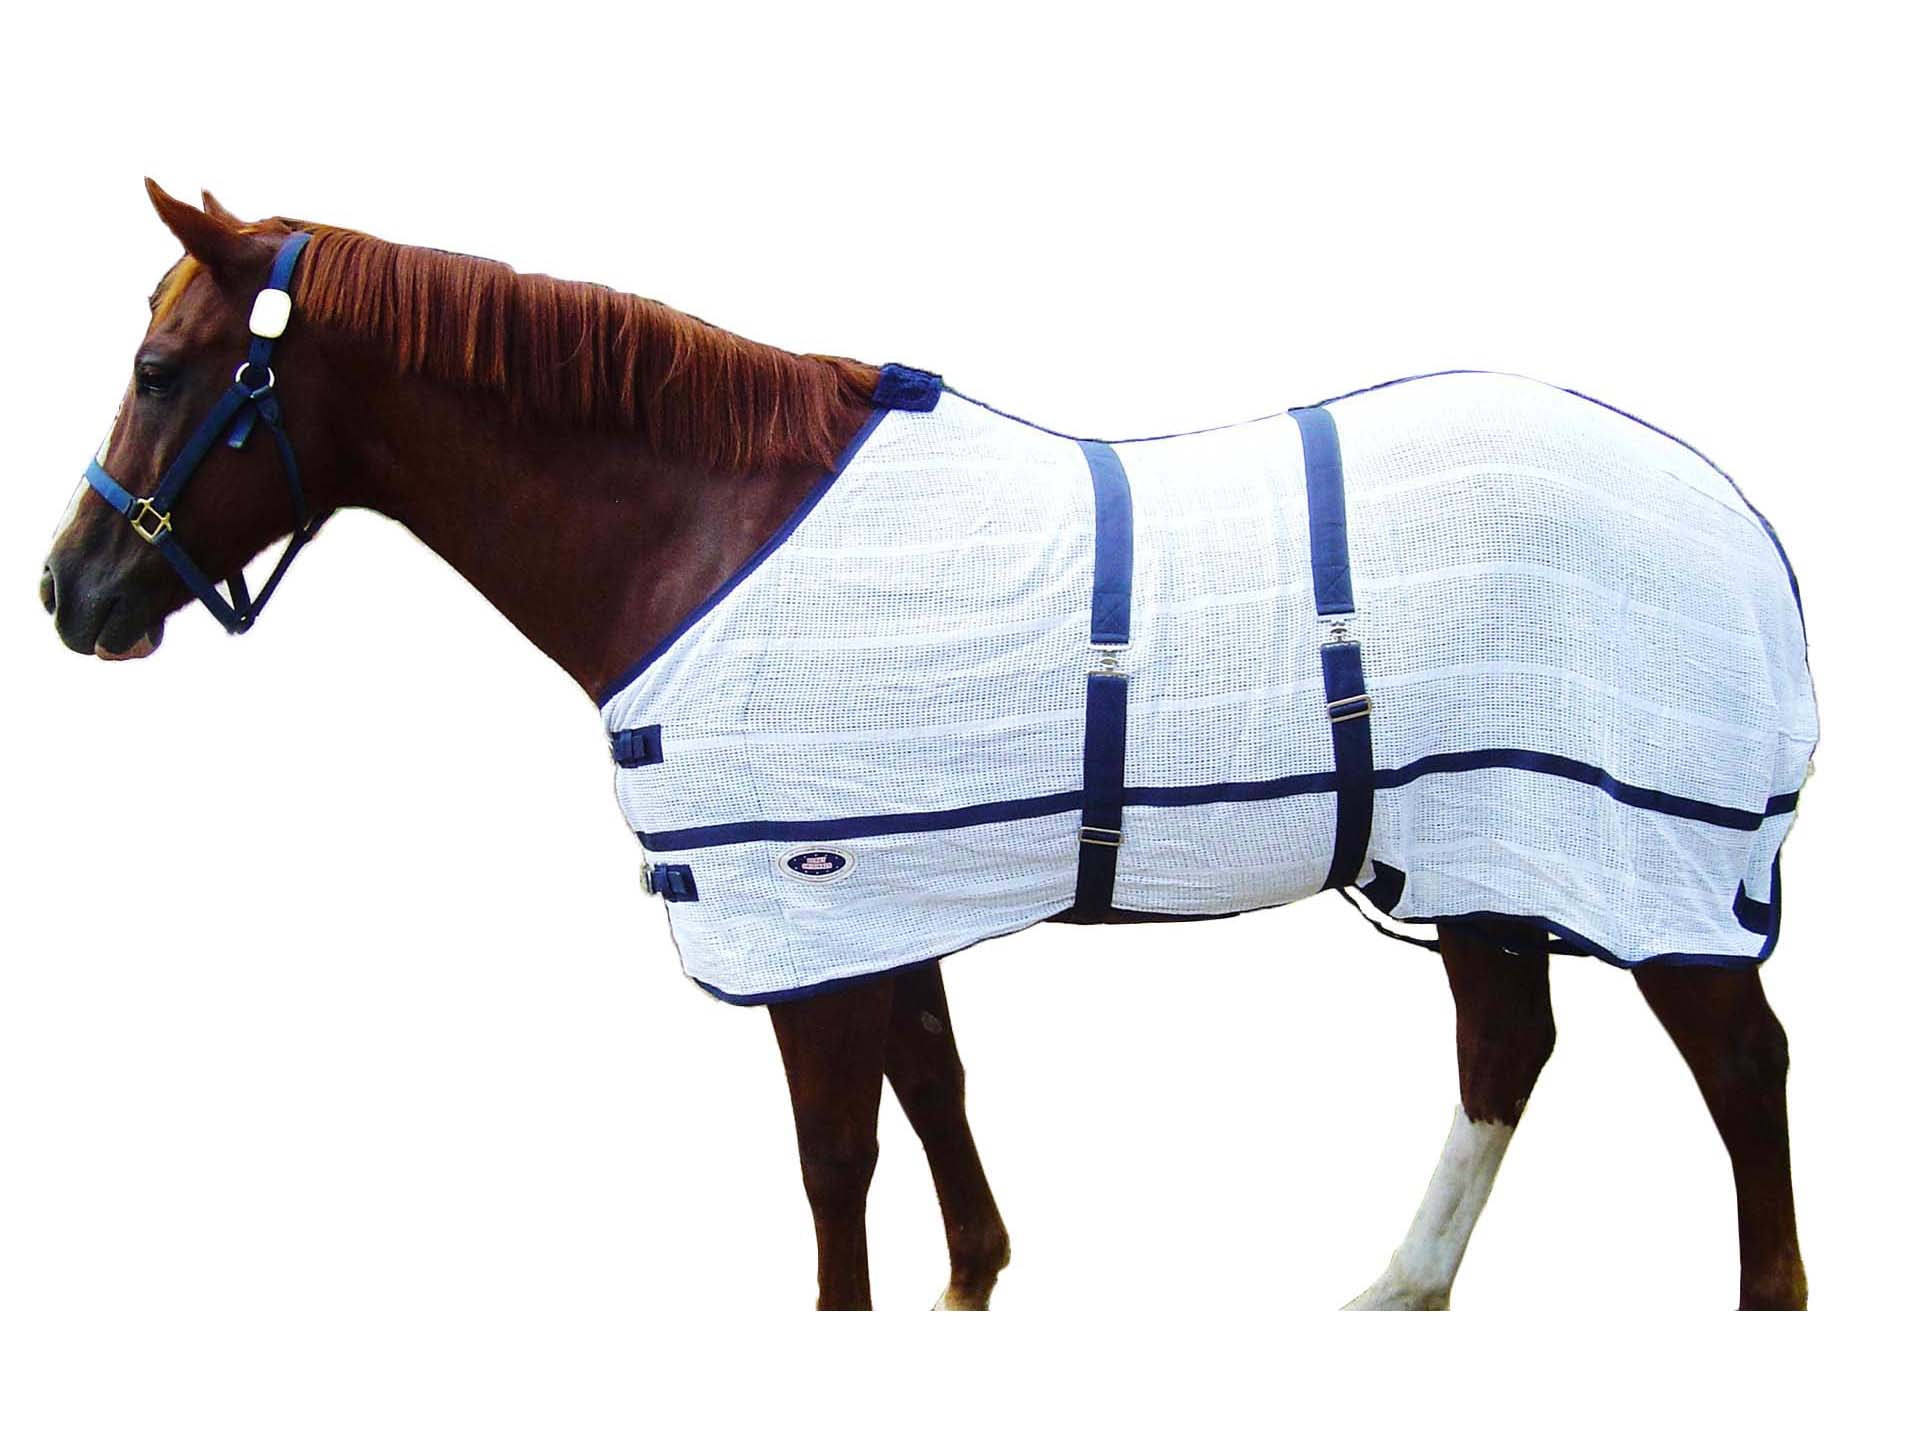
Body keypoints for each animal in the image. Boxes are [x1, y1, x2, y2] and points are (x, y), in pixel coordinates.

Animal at [42, 181, 1813, 1310]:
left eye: (159, 368)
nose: (71, 592)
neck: (707, 525)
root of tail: (1743, 532)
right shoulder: (873, 900)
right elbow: (933, 1092)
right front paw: (976, 1287)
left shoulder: (796, 921)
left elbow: (838, 1165)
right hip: (1481, 860)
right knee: (1509, 1051)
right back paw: (1400, 1290)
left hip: (1629, 869)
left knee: (1740, 1076)